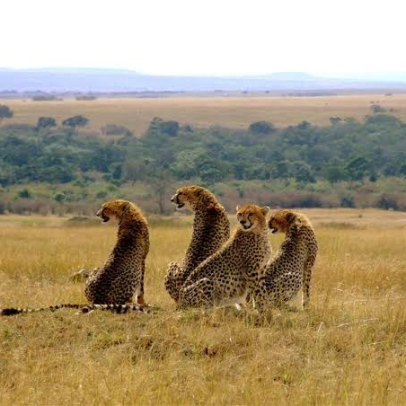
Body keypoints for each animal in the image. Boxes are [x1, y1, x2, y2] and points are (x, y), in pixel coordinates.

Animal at [0, 200, 149, 318]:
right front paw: (142, 303)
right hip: (131, 274)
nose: (97, 214)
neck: (129, 214)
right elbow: (141, 288)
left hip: (95, 272)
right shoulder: (142, 261)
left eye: (106, 208)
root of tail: (96, 299)